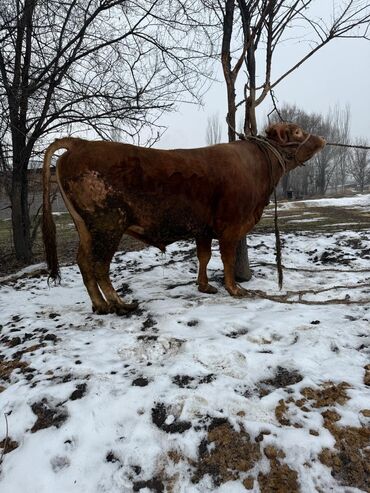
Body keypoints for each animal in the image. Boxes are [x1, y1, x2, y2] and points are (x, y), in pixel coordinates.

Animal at [43, 125, 326, 314]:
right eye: (297, 131)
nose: (322, 138)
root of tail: (81, 143)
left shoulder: (203, 228)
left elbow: (204, 256)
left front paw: (205, 286)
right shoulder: (231, 226)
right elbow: (227, 258)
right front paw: (234, 289)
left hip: (85, 228)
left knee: (84, 262)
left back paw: (100, 305)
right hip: (108, 224)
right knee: (99, 265)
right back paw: (119, 304)